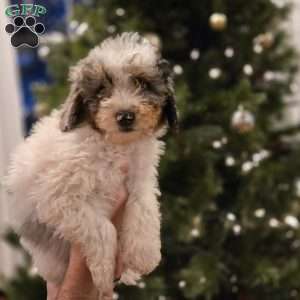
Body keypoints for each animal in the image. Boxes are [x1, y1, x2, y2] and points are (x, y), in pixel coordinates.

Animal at [4, 31, 177, 298]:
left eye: (142, 84)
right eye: (102, 90)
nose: (125, 116)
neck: (115, 145)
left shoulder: (141, 178)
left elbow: (144, 207)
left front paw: (144, 254)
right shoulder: (60, 198)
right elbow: (103, 228)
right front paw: (104, 273)